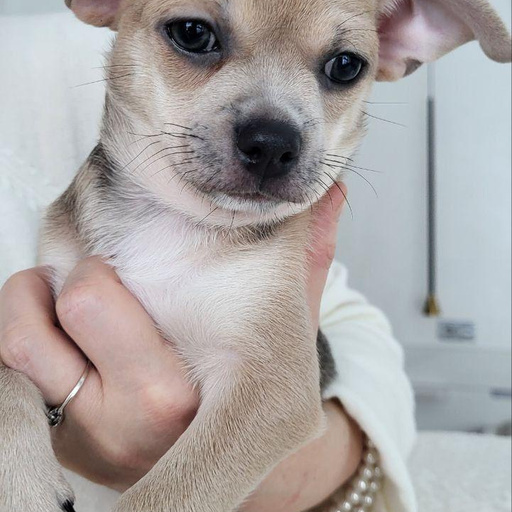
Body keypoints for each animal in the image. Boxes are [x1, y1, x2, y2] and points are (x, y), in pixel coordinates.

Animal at [0, 0, 510, 511]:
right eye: (192, 33)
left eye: (346, 66)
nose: (273, 143)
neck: (176, 221)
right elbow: (7, 372)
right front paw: (24, 484)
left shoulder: (271, 387)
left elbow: (168, 492)